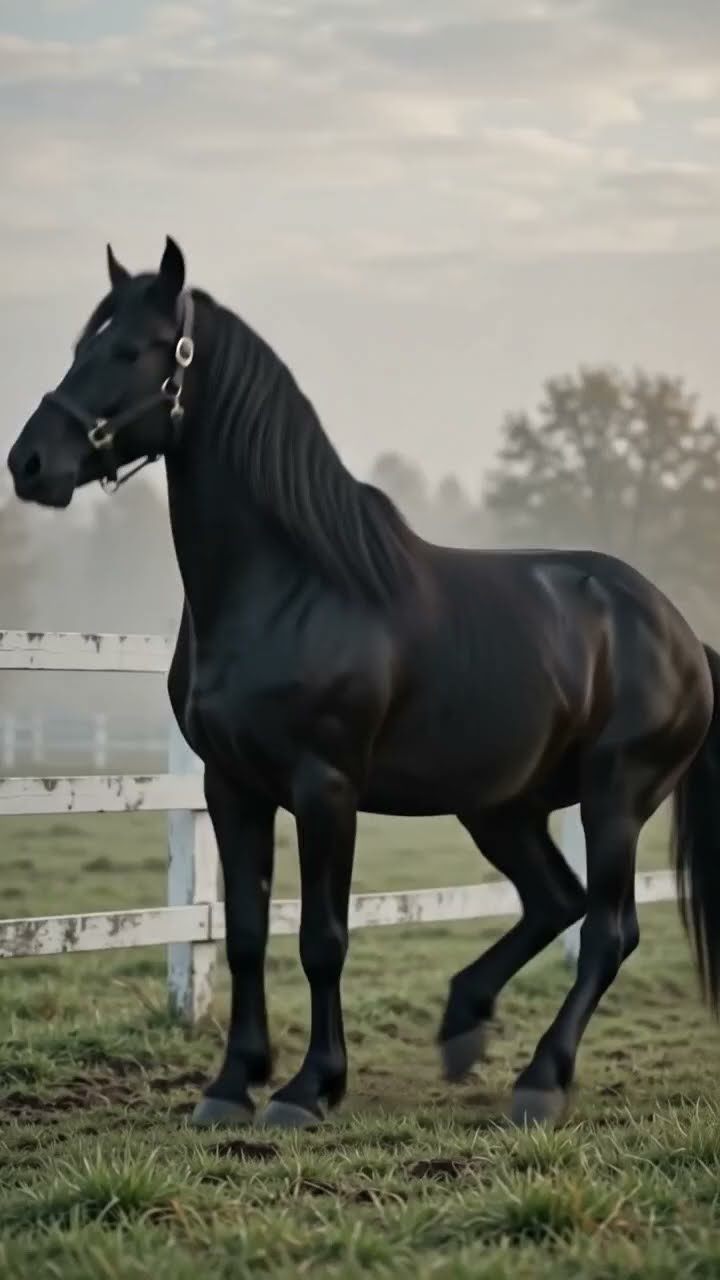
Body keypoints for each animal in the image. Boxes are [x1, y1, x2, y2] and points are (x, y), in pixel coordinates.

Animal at [7, 237, 720, 1131]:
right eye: (83, 344)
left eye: (133, 350)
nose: (29, 462)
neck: (291, 586)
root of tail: (681, 633)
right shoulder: (231, 786)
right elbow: (245, 933)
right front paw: (231, 1085)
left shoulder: (326, 789)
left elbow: (323, 939)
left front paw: (308, 1088)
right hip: (500, 806)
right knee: (557, 902)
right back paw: (463, 1025)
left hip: (614, 797)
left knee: (607, 930)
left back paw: (540, 1080)